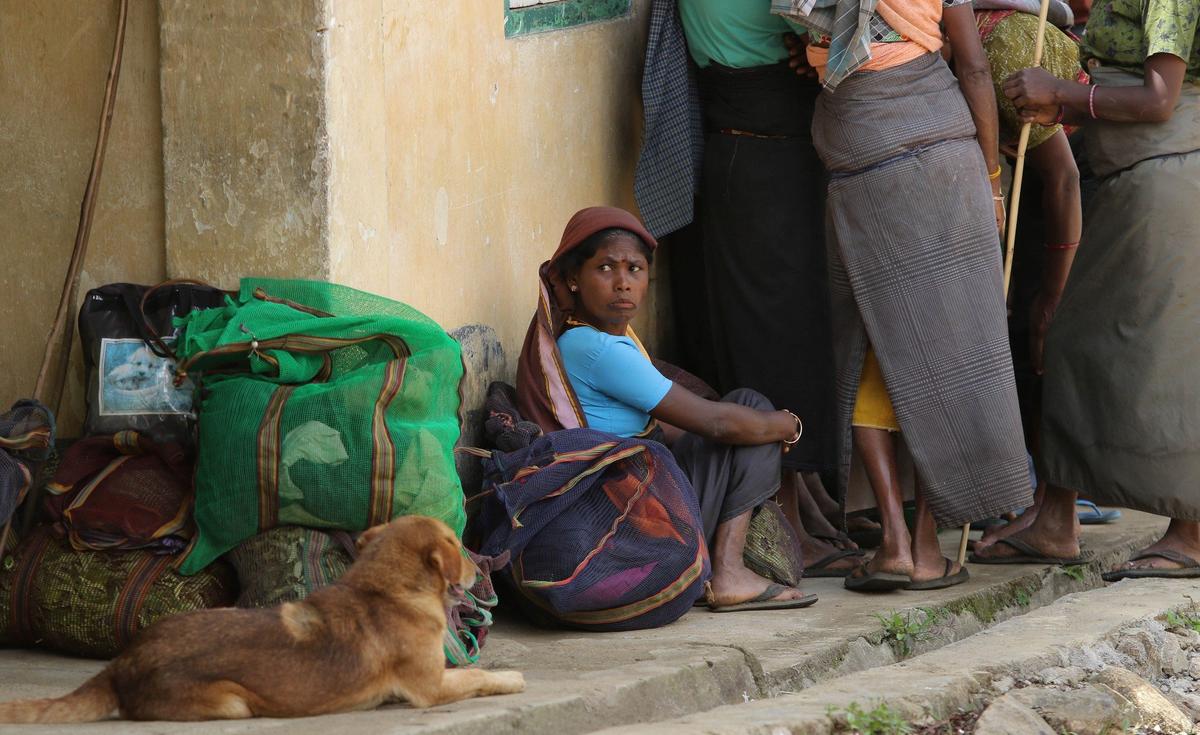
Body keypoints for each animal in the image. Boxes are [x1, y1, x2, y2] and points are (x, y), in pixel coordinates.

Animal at [0, 514, 525, 720]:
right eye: (456, 545)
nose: (480, 569)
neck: (388, 587)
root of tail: (122, 663)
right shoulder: (431, 687)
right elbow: (477, 677)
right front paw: (513, 679)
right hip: (233, 702)